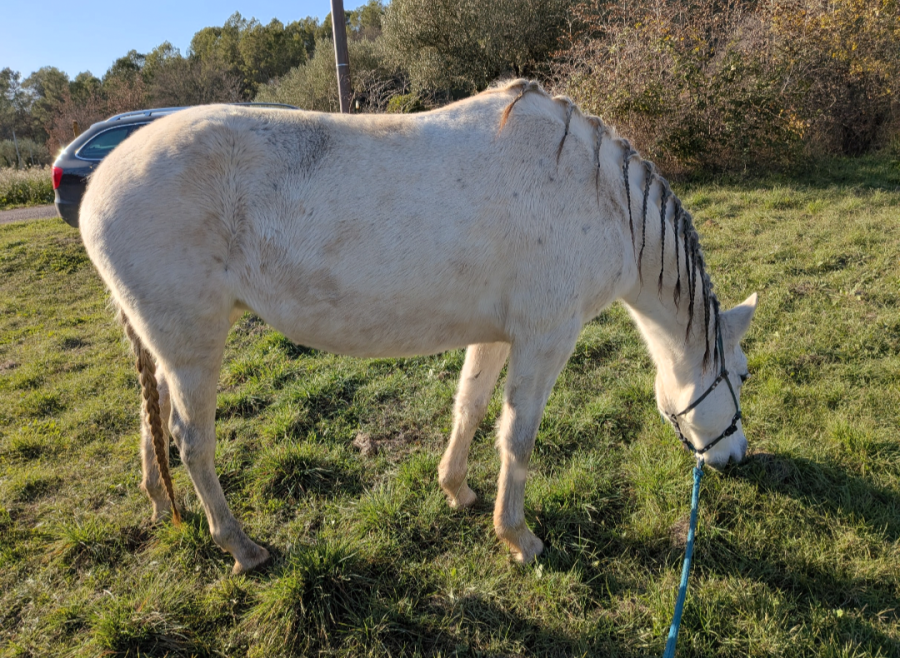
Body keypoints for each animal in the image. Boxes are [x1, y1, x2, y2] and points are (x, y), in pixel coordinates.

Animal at [79, 80, 757, 574]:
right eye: (743, 375)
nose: (737, 457)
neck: (603, 201)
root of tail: (98, 180)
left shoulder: (496, 333)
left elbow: (471, 407)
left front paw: (456, 489)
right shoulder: (547, 336)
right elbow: (519, 437)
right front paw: (518, 538)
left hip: (164, 342)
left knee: (151, 418)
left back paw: (162, 503)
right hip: (194, 346)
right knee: (192, 441)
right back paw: (240, 547)